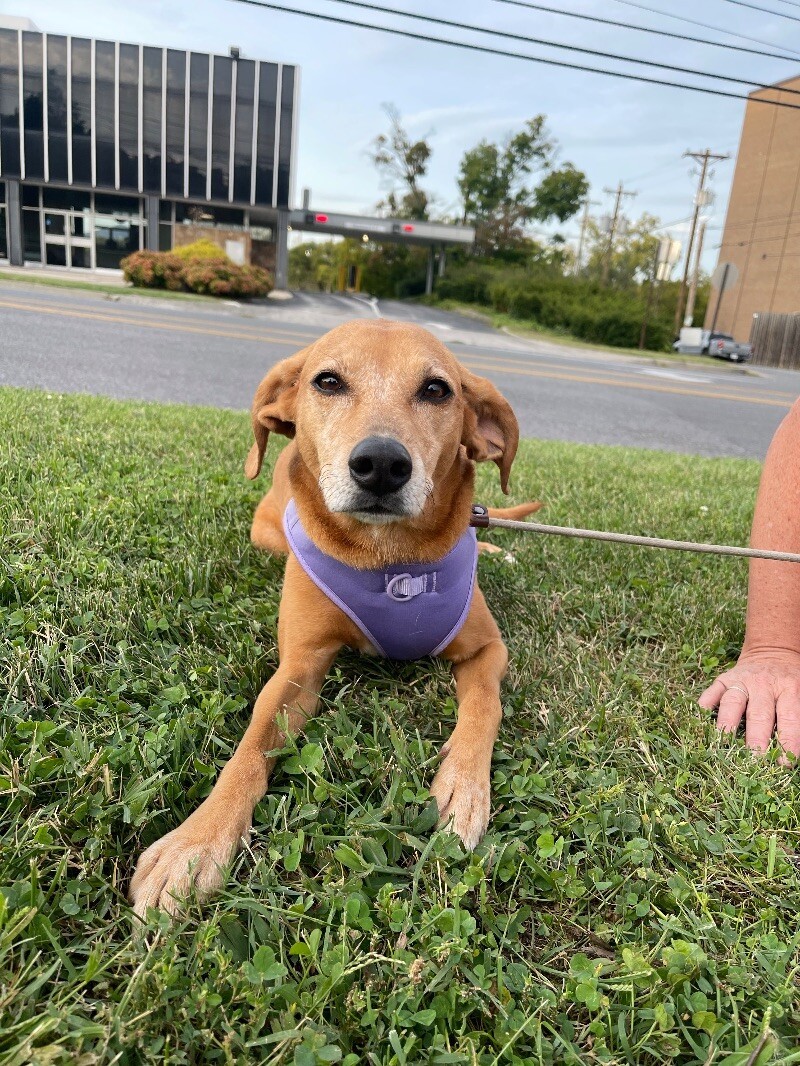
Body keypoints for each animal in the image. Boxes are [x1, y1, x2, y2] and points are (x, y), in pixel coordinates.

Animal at [131, 315, 541, 916]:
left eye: (436, 389)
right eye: (327, 381)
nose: (382, 465)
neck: (389, 559)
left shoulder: (488, 648)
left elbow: (485, 707)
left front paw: (464, 787)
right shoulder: (299, 667)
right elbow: (251, 744)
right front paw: (195, 843)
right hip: (267, 534)